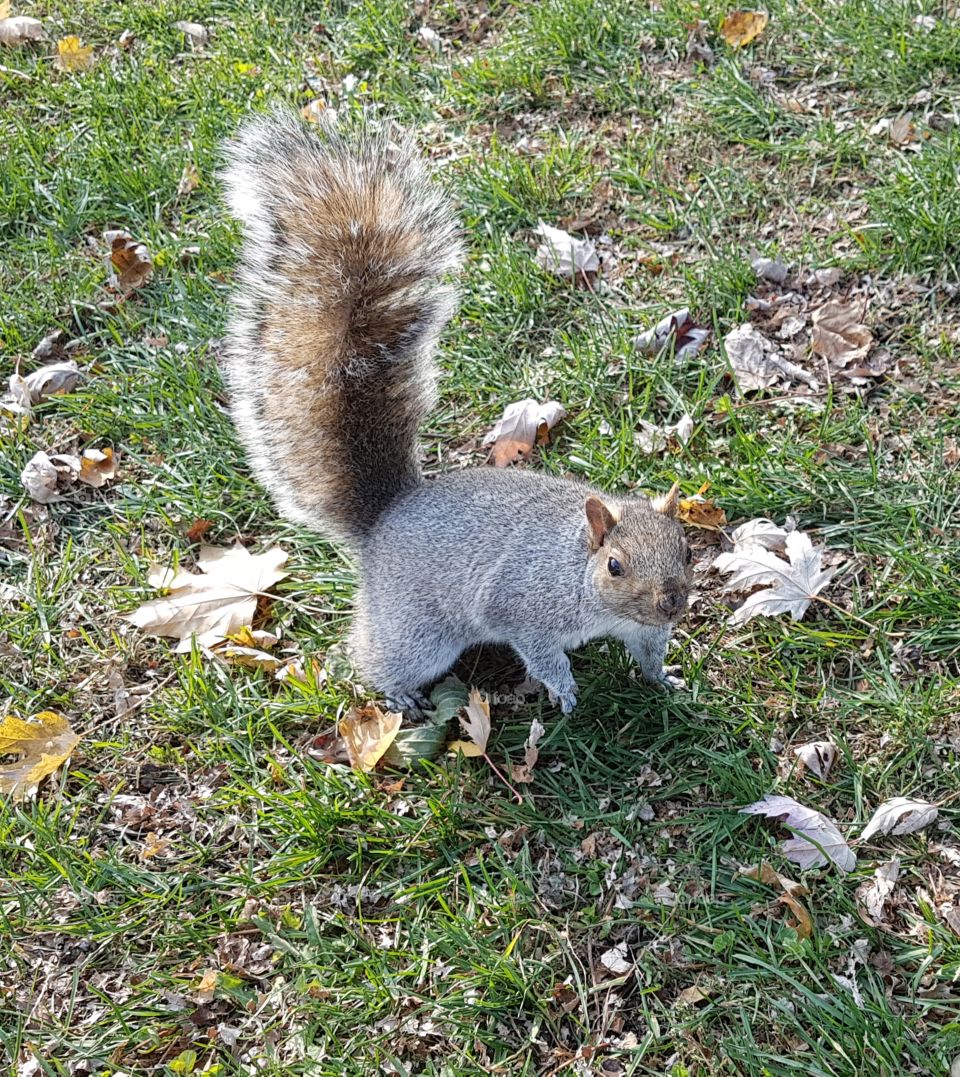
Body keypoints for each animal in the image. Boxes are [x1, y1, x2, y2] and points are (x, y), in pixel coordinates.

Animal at [221, 111, 693, 715]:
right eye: (615, 566)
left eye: (686, 548)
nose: (671, 603)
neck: (577, 570)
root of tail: (384, 520)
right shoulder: (523, 607)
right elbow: (541, 653)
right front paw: (565, 692)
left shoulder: (641, 628)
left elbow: (650, 654)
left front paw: (666, 680)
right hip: (419, 632)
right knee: (376, 658)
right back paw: (400, 696)